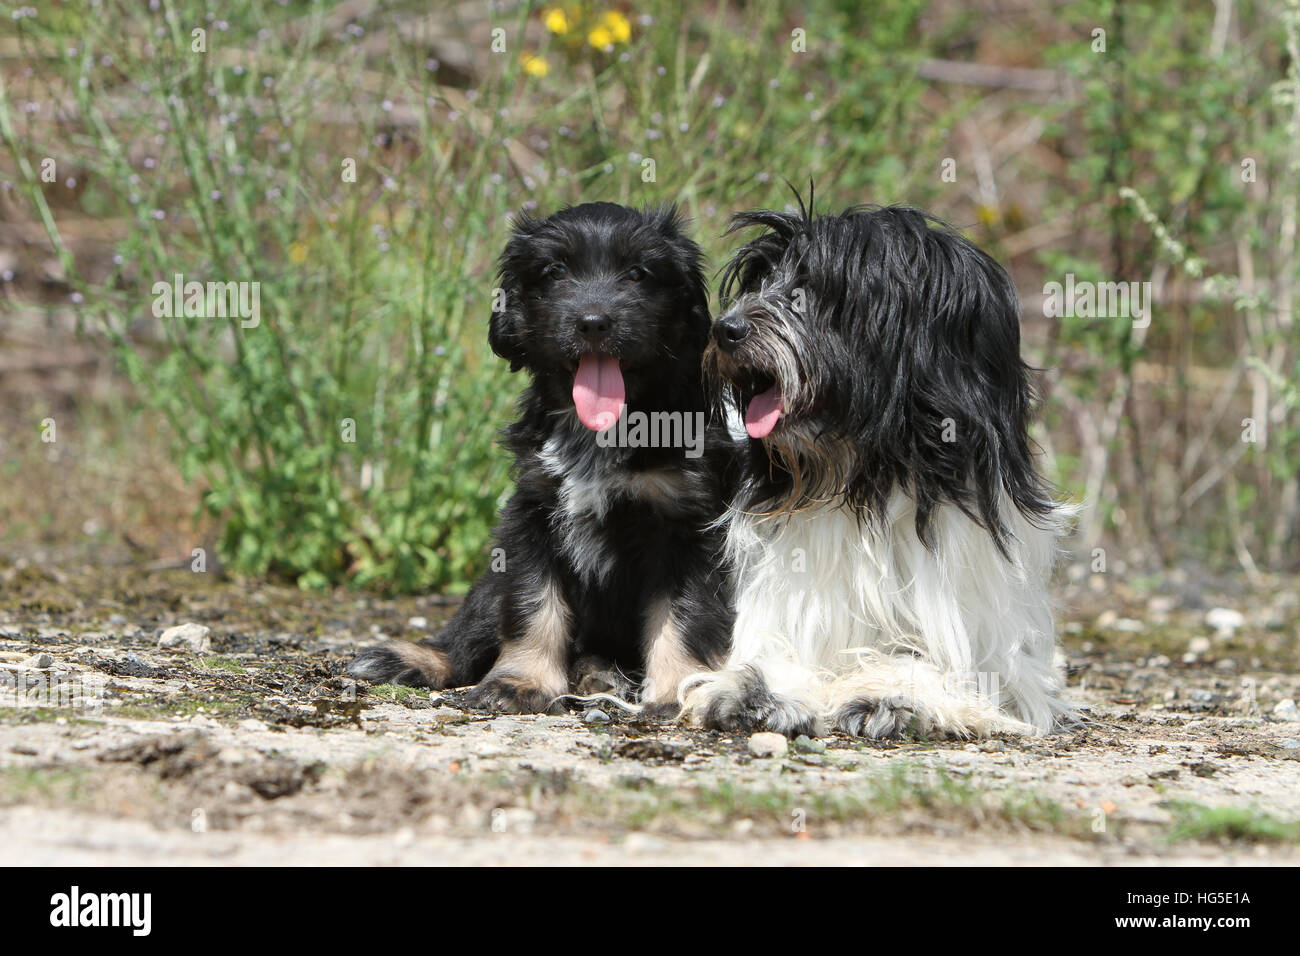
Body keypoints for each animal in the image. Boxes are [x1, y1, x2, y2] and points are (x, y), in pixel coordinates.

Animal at [348, 200, 733, 712]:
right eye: (555, 272)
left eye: (638, 273)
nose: (593, 321)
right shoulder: (531, 513)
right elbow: (533, 605)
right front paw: (520, 682)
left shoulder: (686, 526)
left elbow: (685, 615)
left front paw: (677, 690)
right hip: (491, 582)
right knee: (468, 635)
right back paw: (411, 659)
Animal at [676, 201, 1071, 738]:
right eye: (758, 280)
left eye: (814, 290)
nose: (726, 330)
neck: (866, 480)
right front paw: (761, 687)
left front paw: (892, 691)